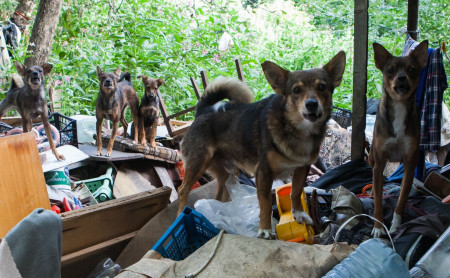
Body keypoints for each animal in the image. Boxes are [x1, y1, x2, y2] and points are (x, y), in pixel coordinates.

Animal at [370, 40, 428, 238]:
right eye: (390, 70)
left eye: (411, 70)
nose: (402, 78)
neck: (399, 104)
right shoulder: (379, 162)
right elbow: (378, 200)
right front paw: (378, 226)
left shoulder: (410, 163)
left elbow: (401, 199)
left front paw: (395, 226)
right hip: (372, 157)